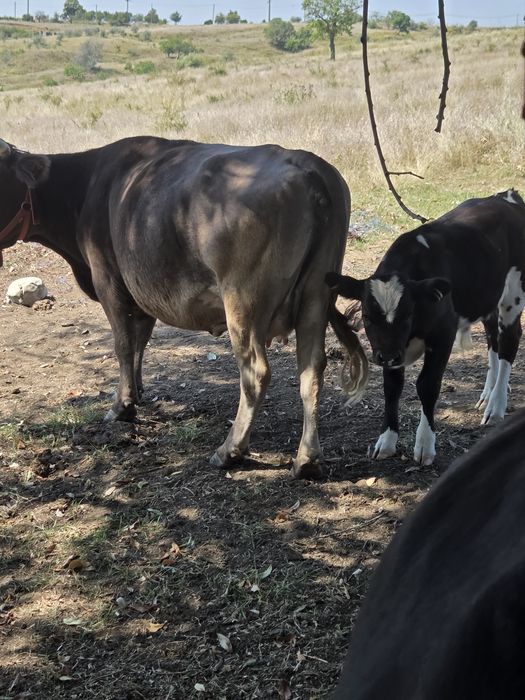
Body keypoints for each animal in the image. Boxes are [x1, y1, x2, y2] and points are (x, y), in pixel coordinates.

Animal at [0, 136, 368, 479]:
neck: (85, 188)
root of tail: (307, 166)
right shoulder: (142, 291)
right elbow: (139, 343)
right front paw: (137, 392)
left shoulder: (109, 282)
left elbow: (123, 345)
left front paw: (121, 406)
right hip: (315, 297)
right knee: (312, 370)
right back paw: (307, 460)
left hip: (243, 303)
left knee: (256, 372)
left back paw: (229, 450)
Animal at [326, 190, 525, 466]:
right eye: (367, 316)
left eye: (407, 314)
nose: (386, 356)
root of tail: (505, 196)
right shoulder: (392, 349)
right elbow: (392, 387)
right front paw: (387, 441)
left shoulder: (443, 335)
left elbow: (427, 385)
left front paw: (425, 445)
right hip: (488, 299)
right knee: (493, 340)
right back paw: (489, 393)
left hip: (512, 296)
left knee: (509, 342)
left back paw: (496, 407)